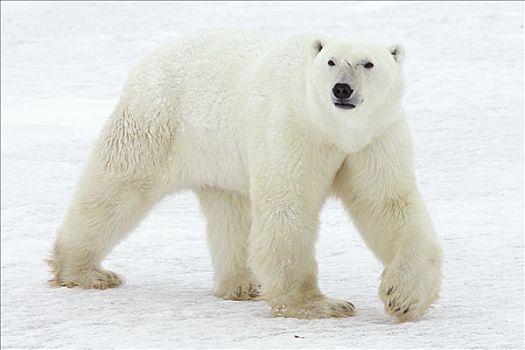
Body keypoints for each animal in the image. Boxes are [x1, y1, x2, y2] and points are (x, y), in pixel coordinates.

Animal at [49, 31, 442, 322]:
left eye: (368, 63)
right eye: (330, 62)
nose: (341, 89)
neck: (333, 129)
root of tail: (148, 61)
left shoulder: (374, 138)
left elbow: (388, 204)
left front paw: (403, 298)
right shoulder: (292, 130)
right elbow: (289, 207)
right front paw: (320, 304)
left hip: (219, 156)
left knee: (231, 212)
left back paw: (240, 285)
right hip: (157, 123)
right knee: (117, 187)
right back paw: (86, 272)